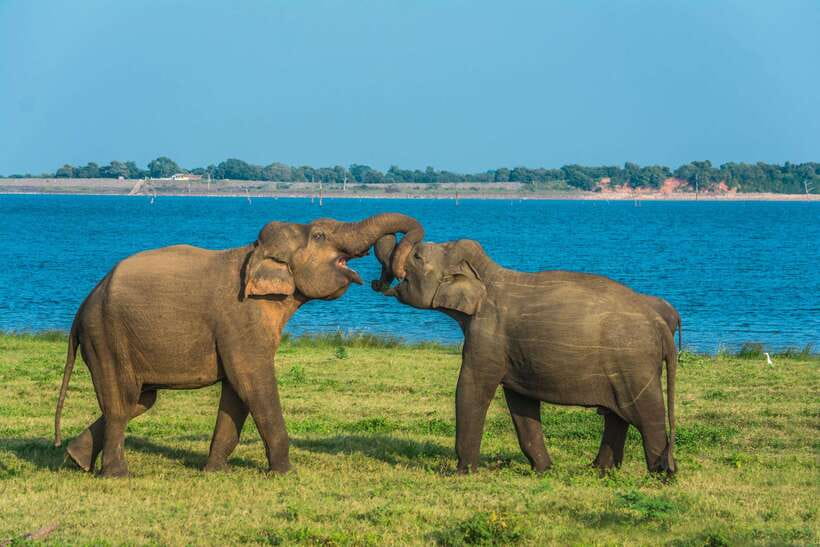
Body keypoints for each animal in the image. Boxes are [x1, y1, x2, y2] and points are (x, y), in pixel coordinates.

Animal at [53, 213, 423, 477]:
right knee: (122, 401)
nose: (382, 278)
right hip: (107, 337)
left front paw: (213, 471)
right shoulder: (240, 318)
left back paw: (76, 458)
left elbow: (236, 392)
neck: (254, 251)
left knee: (139, 400)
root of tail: (82, 307)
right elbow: (253, 383)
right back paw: (117, 475)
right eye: (319, 235)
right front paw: (285, 474)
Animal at [372, 236, 677, 475]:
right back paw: (599, 470)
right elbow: (521, 402)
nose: (379, 281)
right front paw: (544, 469)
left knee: (647, 414)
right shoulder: (515, 352)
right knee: (617, 416)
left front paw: (461, 472)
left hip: (634, 364)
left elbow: (472, 388)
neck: (487, 273)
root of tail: (660, 323)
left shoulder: (488, 336)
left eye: (417, 256)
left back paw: (661, 475)